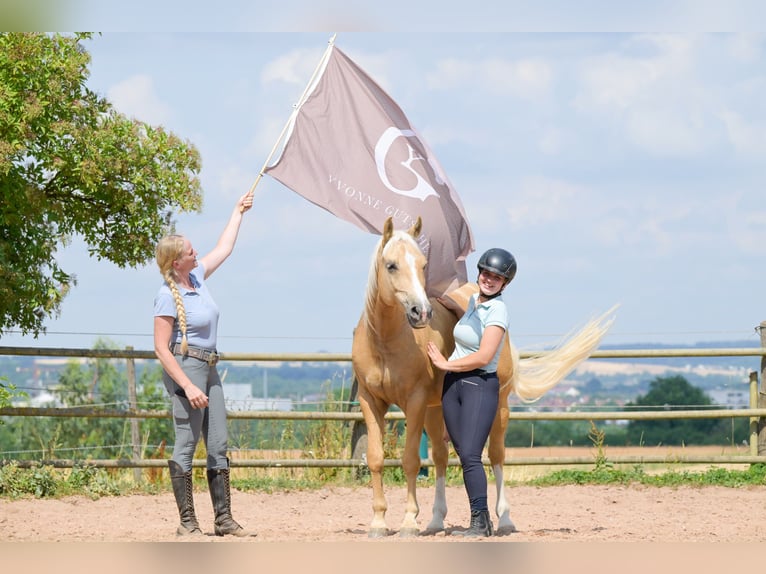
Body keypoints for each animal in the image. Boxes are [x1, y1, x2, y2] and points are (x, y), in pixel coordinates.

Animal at [351, 216, 616, 538]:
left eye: (424, 265)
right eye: (391, 265)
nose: (421, 312)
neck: (385, 340)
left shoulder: (413, 402)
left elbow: (410, 460)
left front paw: (408, 523)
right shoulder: (370, 401)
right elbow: (376, 459)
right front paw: (378, 522)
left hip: (498, 407)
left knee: (496, 456)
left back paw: (504, 519)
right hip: (435, 409)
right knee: (440, 456)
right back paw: (436, 520)